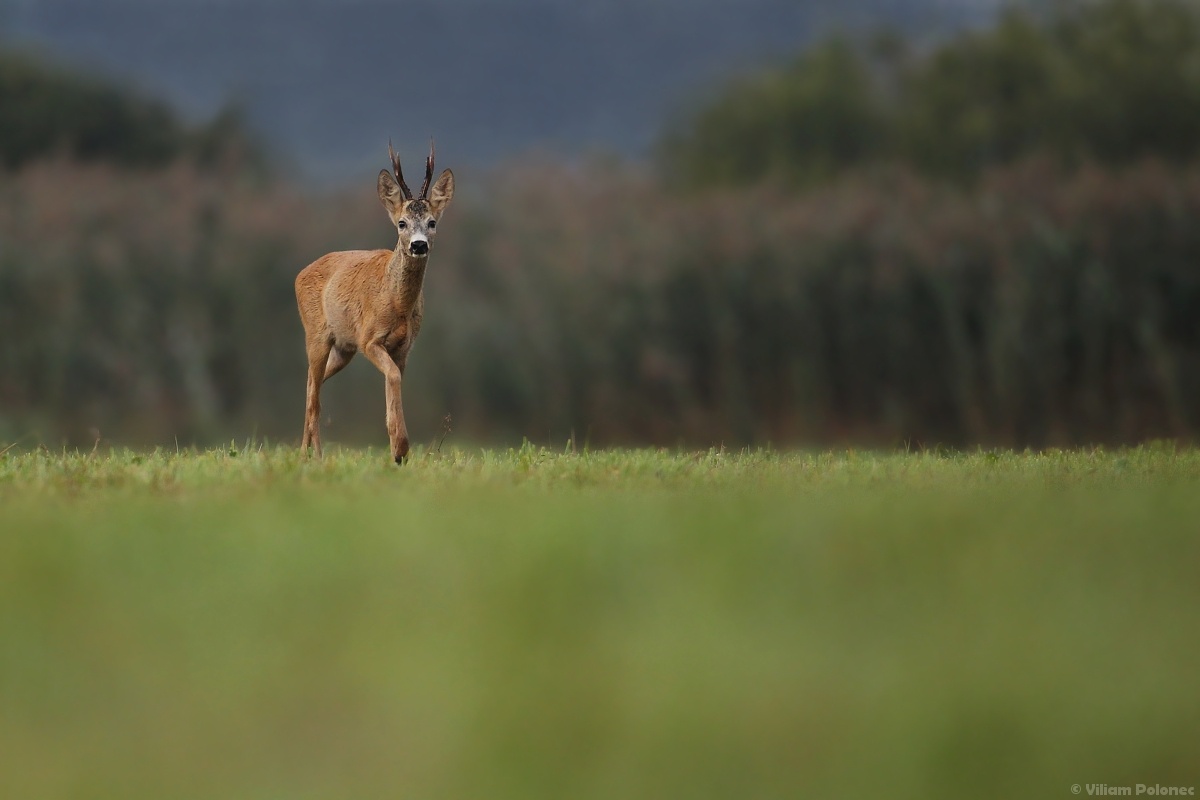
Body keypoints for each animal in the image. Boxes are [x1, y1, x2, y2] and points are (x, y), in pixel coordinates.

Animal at [295, 143, 453, 462]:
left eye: (432, 222)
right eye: (402, 223)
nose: (419, 244)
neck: (397, 304)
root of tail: (299, 274)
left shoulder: (403, 348)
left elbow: (394, 380)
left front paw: (397, 451)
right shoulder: (369, 339)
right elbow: (392, 377)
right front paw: (401, 448)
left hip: (343, 348)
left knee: (311, 384)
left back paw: (307, 452)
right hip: (316, 333)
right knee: (314, 394)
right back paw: (314, 456)